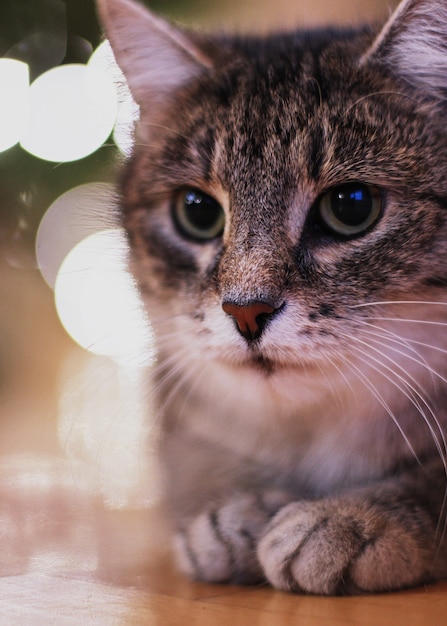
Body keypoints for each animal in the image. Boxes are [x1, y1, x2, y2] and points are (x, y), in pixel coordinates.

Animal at [95, 0, 447, 596]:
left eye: (352, 205)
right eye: (196, 211)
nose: (245, 311)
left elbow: (435, 480)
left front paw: (358, 517)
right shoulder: (180, 397)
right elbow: (194, 459)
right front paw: (232, 510)